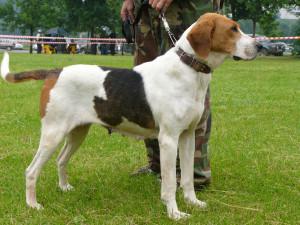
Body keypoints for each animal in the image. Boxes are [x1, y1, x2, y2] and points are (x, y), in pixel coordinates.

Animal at [0, 12, 260, 220]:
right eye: (233, 29)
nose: (260, 46)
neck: (188, 68)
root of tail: (56, 71)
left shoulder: (187, 136)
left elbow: (186, 178)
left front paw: (193, 203)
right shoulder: (168, 140)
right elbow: (169, 183)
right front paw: (174, 213)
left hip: (77, 132)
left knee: (61, 160)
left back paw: (64, 188)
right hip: (53, 134)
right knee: (31, 171)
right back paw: (33, 205)